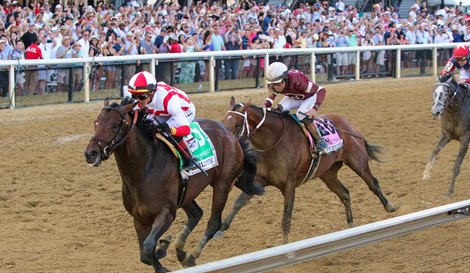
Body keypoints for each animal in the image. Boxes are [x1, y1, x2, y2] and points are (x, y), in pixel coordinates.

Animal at [85, 100, 260, 272]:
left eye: (115, 125)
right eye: (96, 123)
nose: (90, 153)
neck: (144, 167)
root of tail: (230, 135)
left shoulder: (166, 213)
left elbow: (148, 247)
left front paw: (162, 250)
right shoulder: (139, 218)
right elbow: (144, 253)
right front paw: (163, 250)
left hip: (222, 185)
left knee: (213, 223)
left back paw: (191, 257)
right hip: (186, 191)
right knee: (196, 213)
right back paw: (180, 251)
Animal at [220, 96, 396, 243]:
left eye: (237, 124)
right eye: (223, 121)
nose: (229, 143)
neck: (274, 142)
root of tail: (348, 124)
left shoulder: (289, 185)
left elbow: (286, 220)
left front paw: (285, 246)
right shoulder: (260, 180)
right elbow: (238, 202)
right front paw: (221, 229)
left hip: (358, 162)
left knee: (372, 183)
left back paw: (389, 206)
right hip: (328, 173)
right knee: (345, 194)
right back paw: (351, 226)